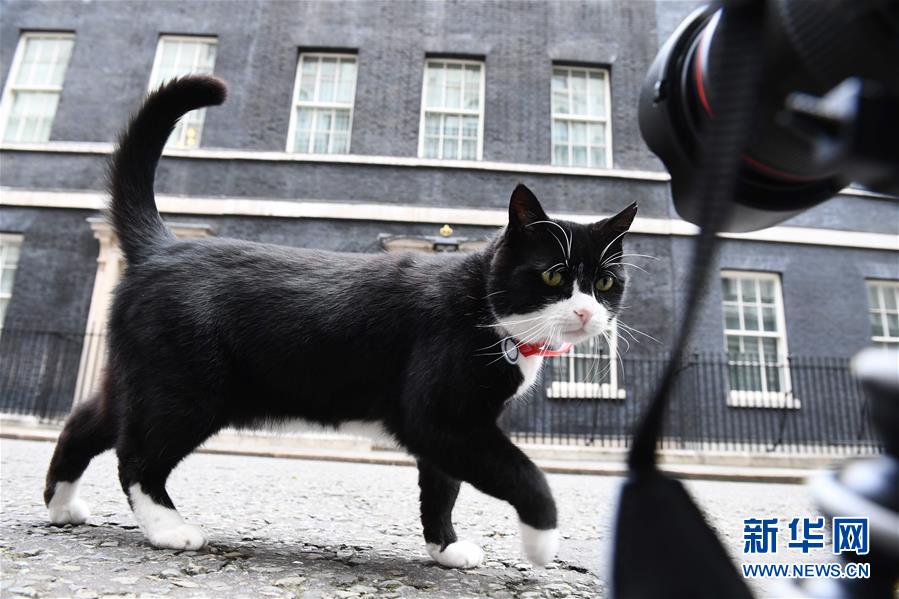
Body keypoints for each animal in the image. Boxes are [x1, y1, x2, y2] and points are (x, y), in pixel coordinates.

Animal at [42, 77, 636, 568]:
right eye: (555, 276)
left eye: (606, 283)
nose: (587, 311)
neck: (485, 312)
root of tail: (161, 246)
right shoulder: (440, 417)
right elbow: (521, 471)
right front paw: (542, 541)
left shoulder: (451, 429)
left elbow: (442, 487)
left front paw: (444, 548)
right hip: (187, 390)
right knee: (137, 456)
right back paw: (168, 528)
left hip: (139, 378)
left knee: (86, 422)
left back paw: (62, 505)